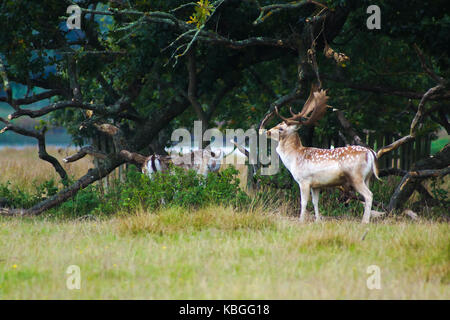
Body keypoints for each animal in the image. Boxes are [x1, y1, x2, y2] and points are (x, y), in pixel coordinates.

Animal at [260, 85, 380, 225]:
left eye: (280, 128)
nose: (267, 131)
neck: (294, 158)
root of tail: (371, 153)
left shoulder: (304, 180)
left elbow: (303, 202)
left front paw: (301, 220)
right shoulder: (316, 185)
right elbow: (315, 202)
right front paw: (317, 220)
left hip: (356, 176)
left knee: (369, 195)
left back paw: (364, 222)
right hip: (368, 177)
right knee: (367, 195)